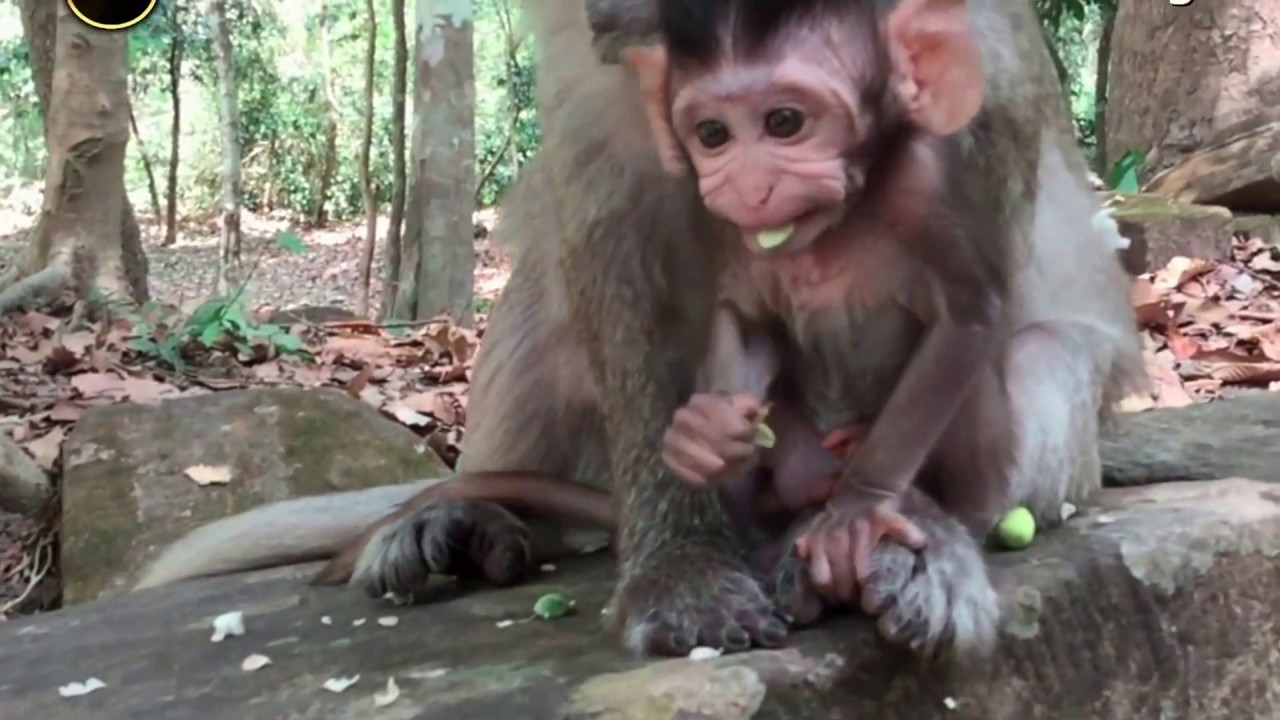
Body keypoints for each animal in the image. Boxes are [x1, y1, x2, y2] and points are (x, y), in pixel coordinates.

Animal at [135, 0, 1148, 660]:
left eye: (788, 119)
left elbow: (970, 264)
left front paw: (896, 531)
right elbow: (616, 225)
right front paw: (681, 563)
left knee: (1040, 355)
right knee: (544, 307)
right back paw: (467, 517)